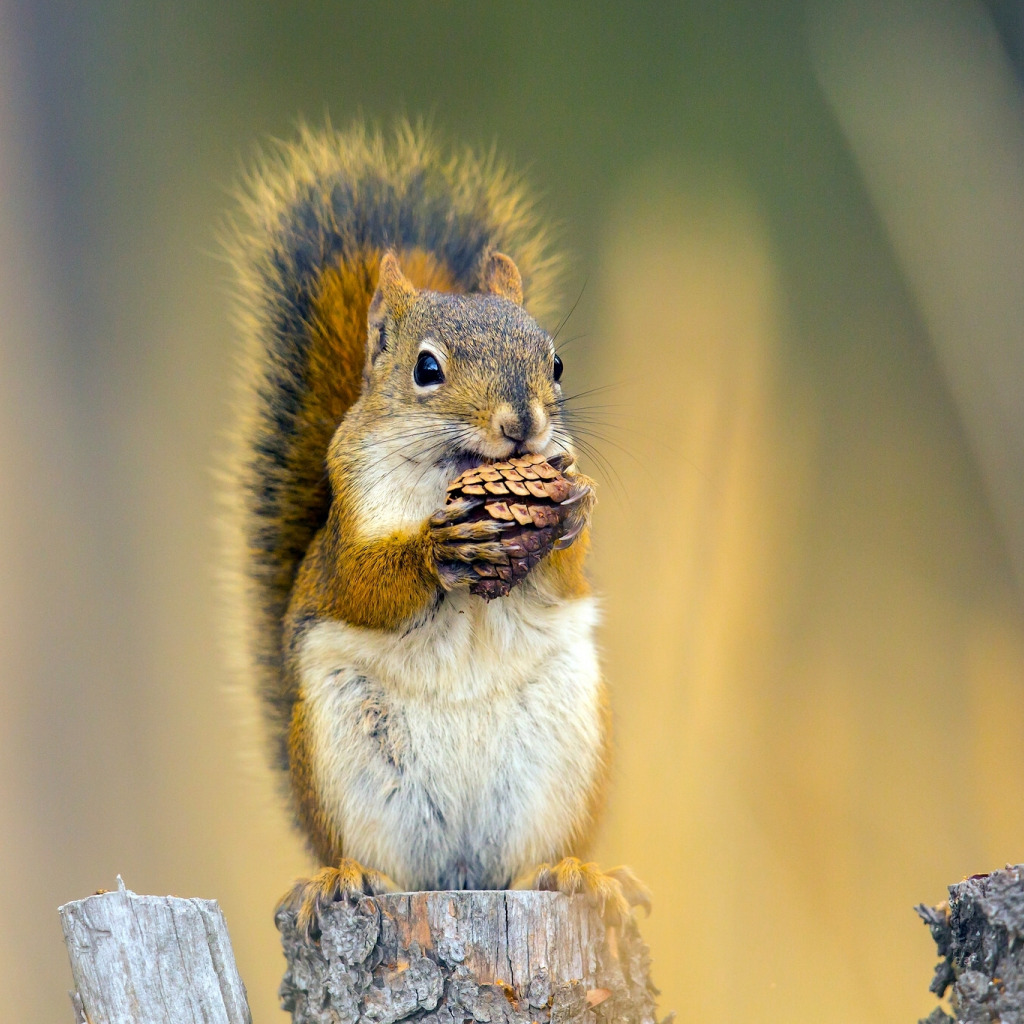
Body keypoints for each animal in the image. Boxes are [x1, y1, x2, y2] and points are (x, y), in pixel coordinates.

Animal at [224, 123, 647, 933]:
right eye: (427, 370)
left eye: (556, 363)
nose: (523, 424)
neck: (451, 469)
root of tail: (459, 877)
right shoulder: (347, 527)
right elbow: (364, 586)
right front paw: (433, 550)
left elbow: (567, 570)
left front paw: (573, 507)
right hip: (342, 761)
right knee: (370, 856)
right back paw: (343, 878)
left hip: (564, 753)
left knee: (532, 862)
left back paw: (574, 873)